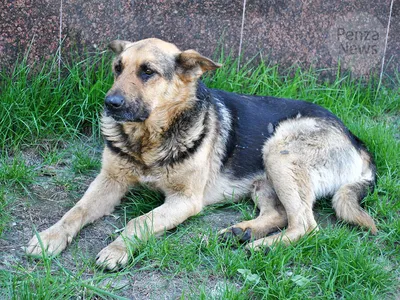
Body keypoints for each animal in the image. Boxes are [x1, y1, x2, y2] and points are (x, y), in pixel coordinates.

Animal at [25, 37, 378, 270]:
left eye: (148, 71)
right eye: (117, 68)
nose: (109, 104)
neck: (149, 139)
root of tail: (356, 140)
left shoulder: (184, 200)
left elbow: (139, 221)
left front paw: (117, 249)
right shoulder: (109, 181)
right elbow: (77, 210)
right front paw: (49, 236)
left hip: (280, 152)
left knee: (306, 226)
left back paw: (260, 247)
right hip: (266, 177)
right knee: (280, 215)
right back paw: (239, 233)